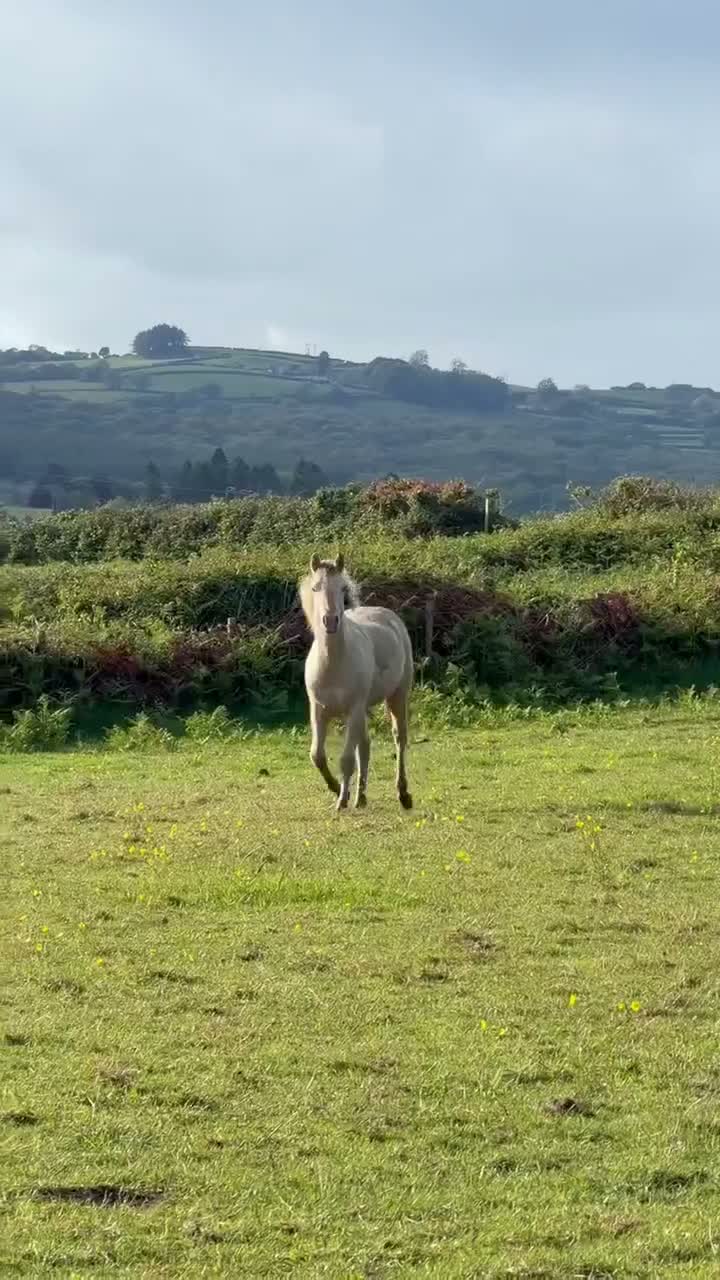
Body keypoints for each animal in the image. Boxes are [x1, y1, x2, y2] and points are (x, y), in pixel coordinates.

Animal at [300, 554, 413, 811]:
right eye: (315, 587)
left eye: (342, 588)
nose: (330, 621)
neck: (333, 665)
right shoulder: (318, 710)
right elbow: (317, 755)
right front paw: (336, 789)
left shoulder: (353, 710)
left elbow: (346, 759)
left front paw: (341, 799)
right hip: (363, 710)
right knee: (365, 745)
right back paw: (360, 798)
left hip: (397, 695)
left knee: (399, 738)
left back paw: (403, 794)